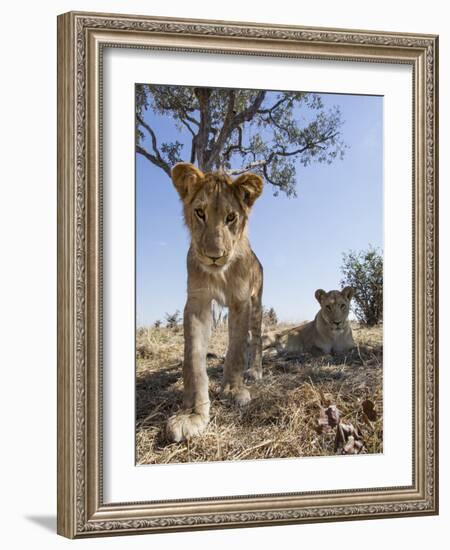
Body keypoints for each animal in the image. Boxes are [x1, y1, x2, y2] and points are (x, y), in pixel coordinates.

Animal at [165, 163, 264, 444]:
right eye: (200, 212)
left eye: (231, 217)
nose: (214, 257)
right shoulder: (197, 302)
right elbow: (193, 359)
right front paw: (191, 414)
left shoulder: (242, 301)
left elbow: (236, 349)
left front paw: (233, 389)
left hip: (257, 305)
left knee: (255, 340)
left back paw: (254, 371)